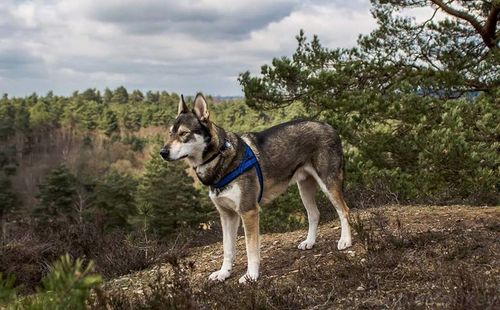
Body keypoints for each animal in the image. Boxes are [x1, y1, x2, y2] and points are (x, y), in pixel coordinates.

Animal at [160, 92, 352, 284]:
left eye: (184, 133)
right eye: (170, 133)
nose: (163, 152)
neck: (221, 159)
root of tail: (328, 125)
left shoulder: (248, 211)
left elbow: (250, 249)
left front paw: (251, 275)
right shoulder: (227, 216)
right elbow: (227, 249)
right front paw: (224, 273)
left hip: (328, 183)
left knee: (344, 210)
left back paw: (345, 240)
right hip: (304, 188)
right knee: (314, 214)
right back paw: (310, 242)